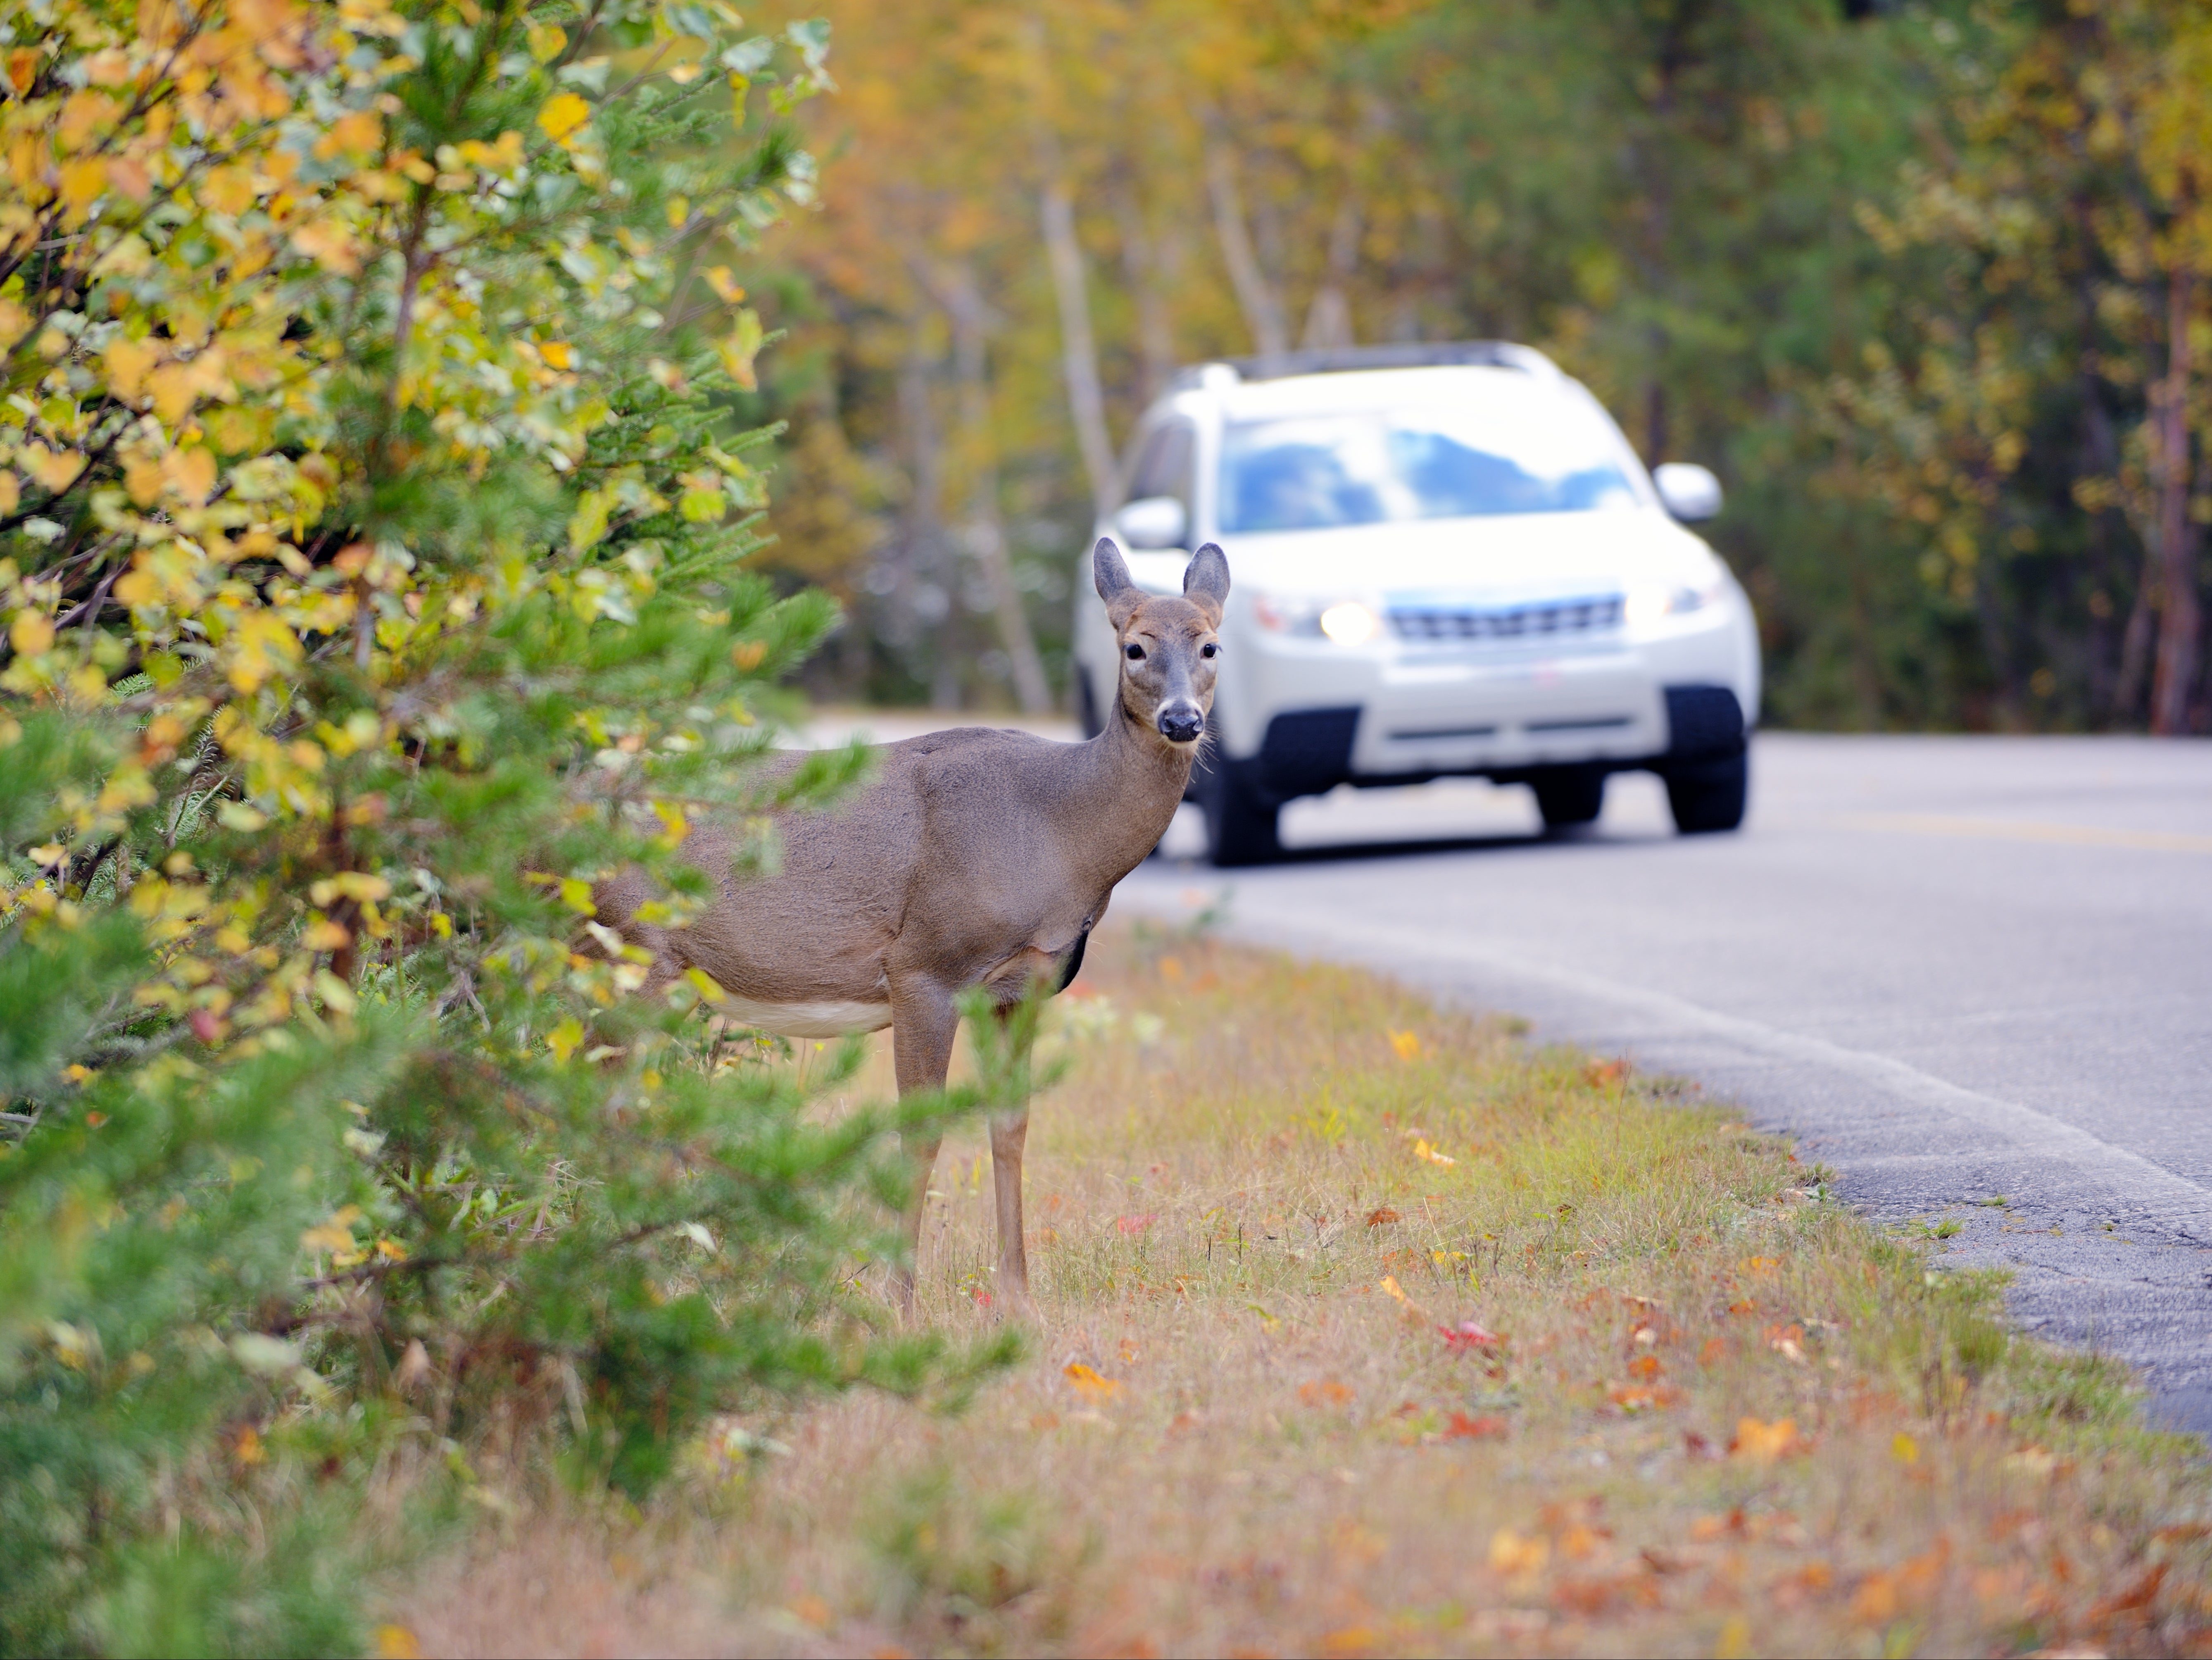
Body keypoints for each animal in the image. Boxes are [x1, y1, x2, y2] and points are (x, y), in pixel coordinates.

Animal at [597, 542, 1239, 1328]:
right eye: (1134, 647)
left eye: (1209, 646)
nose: (1181, 720)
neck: (1057, 831)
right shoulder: (925, 966)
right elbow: (920, 1134)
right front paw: (899, 1305)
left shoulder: (1022, 985)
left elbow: (1010, 1125)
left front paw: (1018, 1301)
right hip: (629, 950)